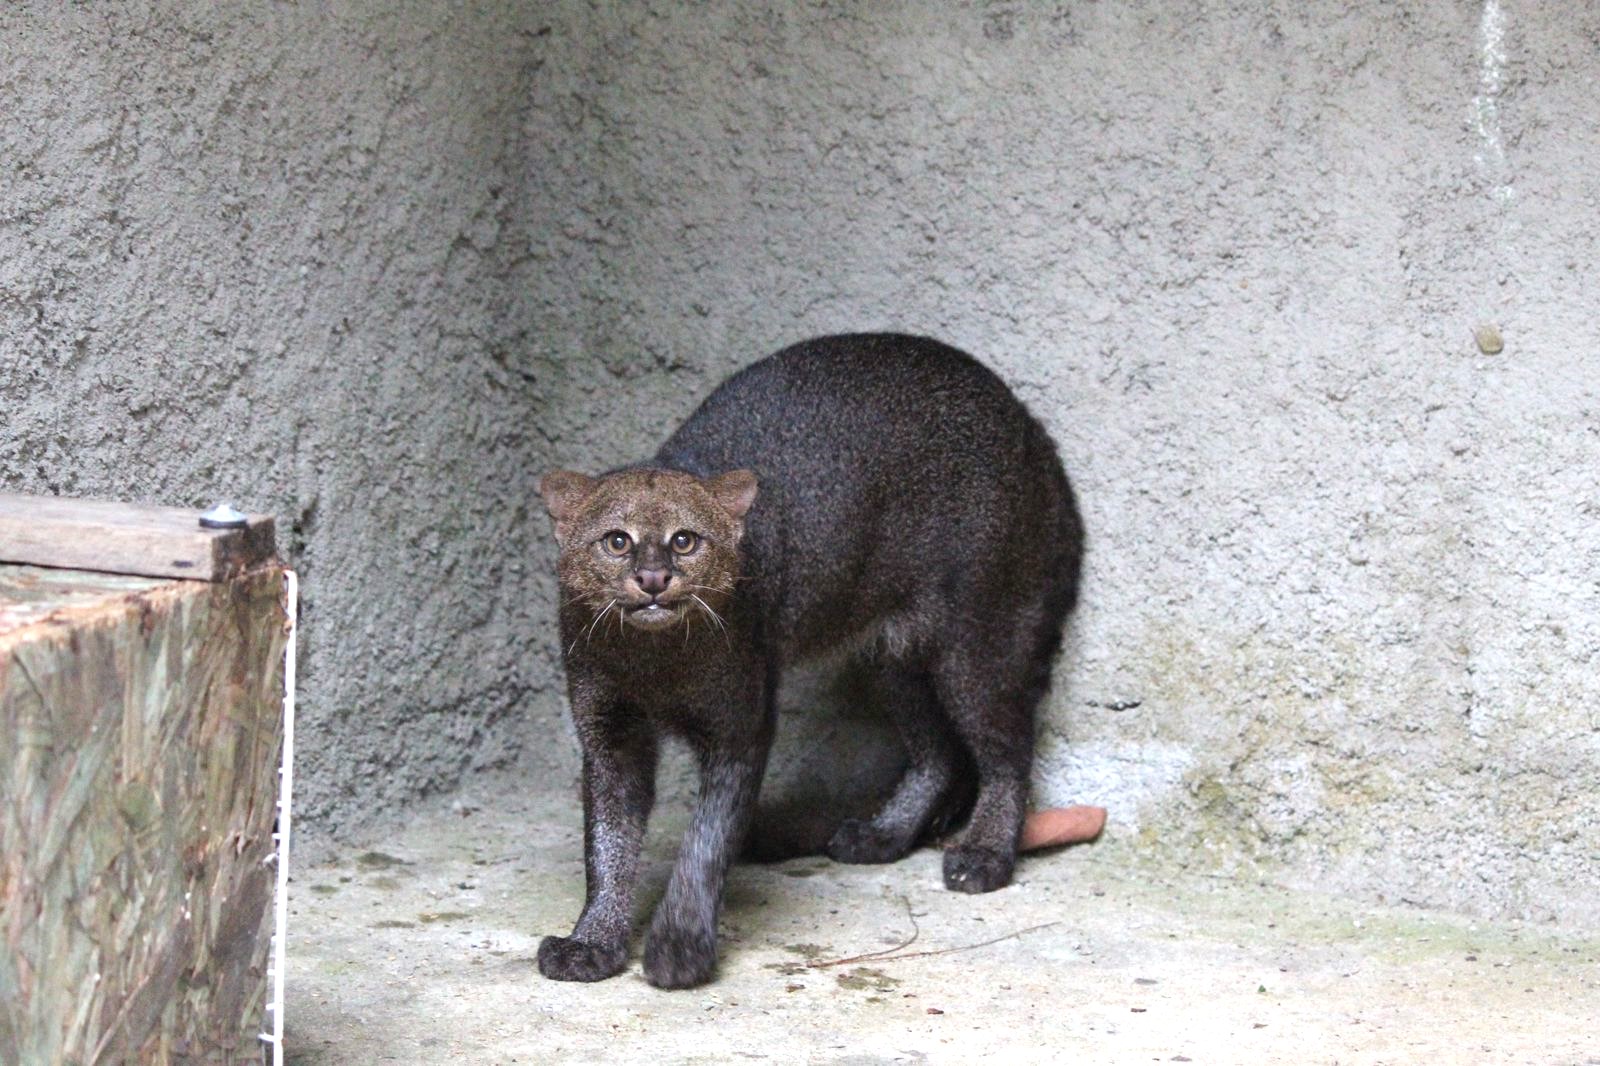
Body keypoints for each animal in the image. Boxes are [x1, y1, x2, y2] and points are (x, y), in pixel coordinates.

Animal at [540, 332, 1088, 985]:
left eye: (685, 540)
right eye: (617, 541)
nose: (653, 579)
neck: (655, 663)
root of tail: (1030, 425)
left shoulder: (740, 723)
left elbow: (705, 840)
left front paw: (679, 947)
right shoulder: (609, 732)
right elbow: (608, 843)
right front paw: (592, 942)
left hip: (975, 639)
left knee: (1006, 747)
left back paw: (983, 855)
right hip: (894, 656)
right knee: (939, 749)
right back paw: (882, 835)